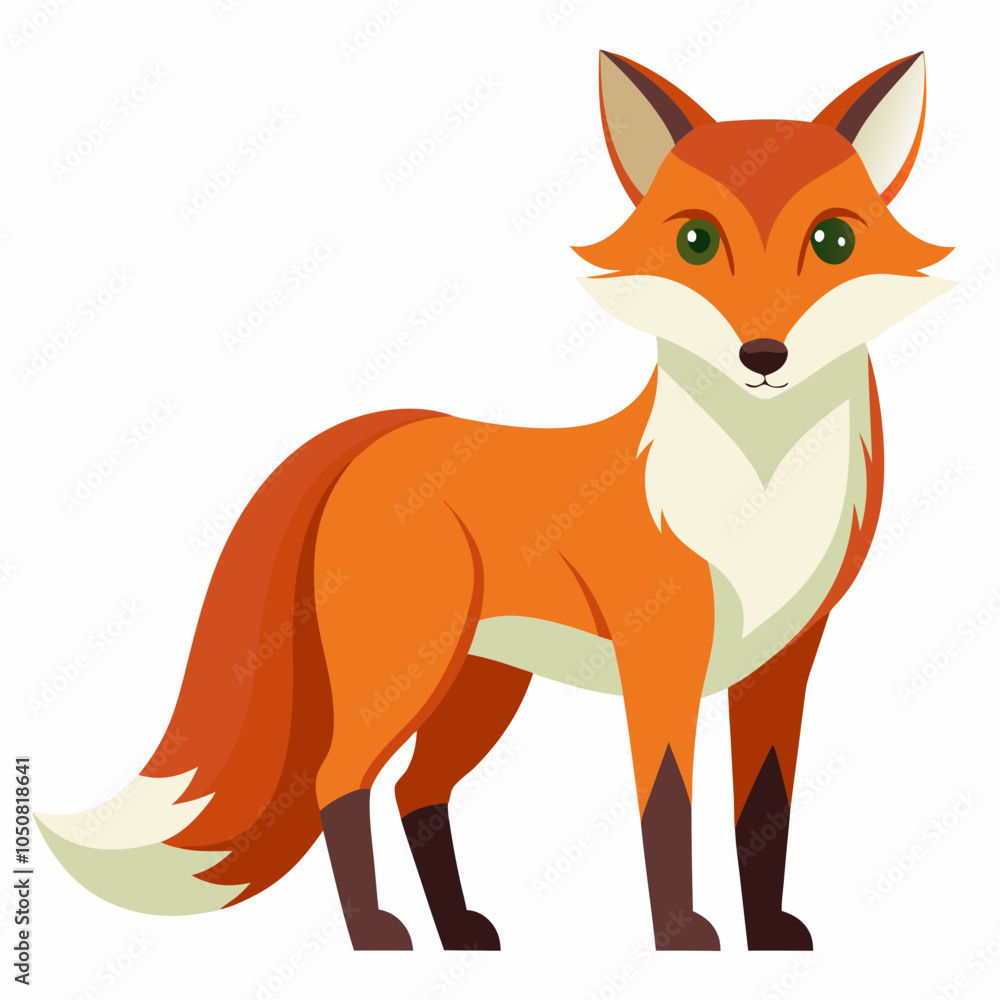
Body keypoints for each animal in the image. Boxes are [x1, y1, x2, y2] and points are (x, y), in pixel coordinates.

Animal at [37, 51, 954, 951]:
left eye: (832, 241)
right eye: (696, 241)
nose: (763, 355)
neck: (757, 496)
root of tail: (385, 433)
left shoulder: (784, 657)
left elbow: (765, 807)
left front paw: (766, 938)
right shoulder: (661, 653)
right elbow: (667, 804)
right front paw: (681, 937)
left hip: (479, 688)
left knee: (416, 792)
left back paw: (459, 933)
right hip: (406, 673)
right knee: (341, 781)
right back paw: (375, 934)